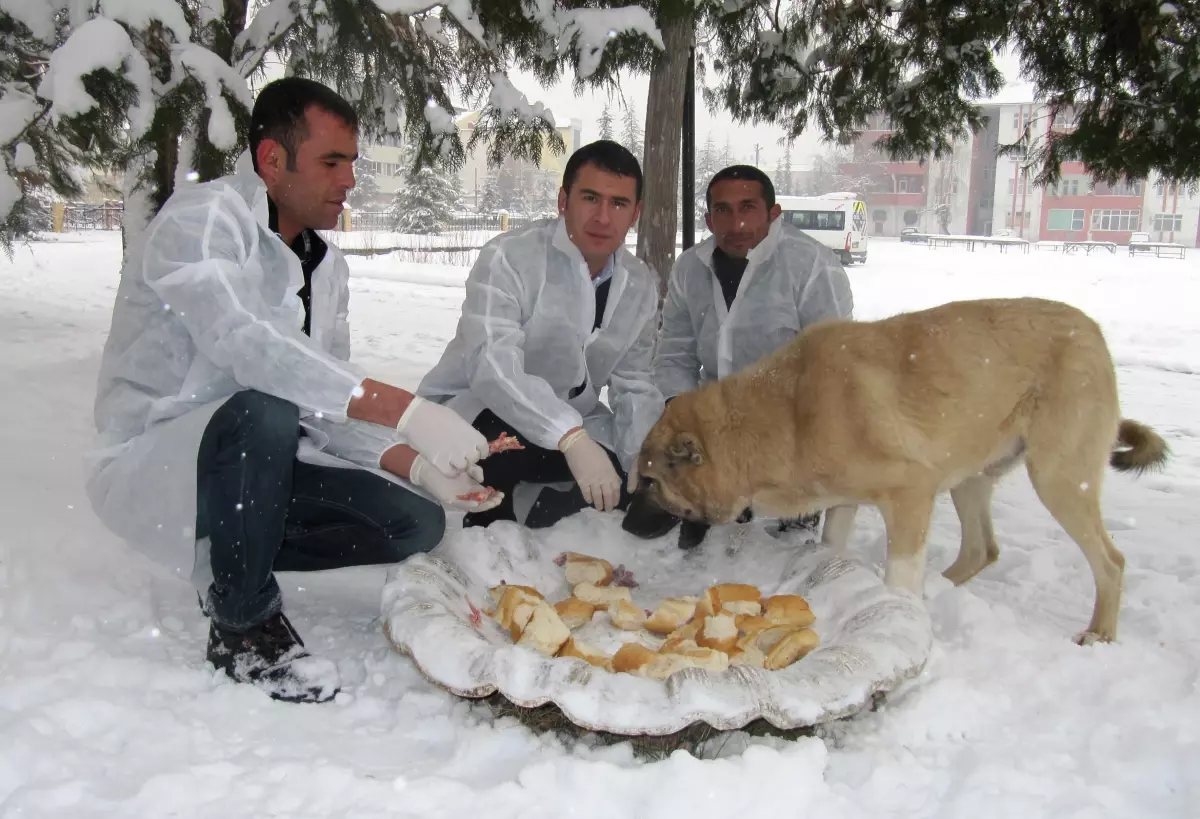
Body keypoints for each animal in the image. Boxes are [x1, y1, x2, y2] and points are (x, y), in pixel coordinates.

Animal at [643, 296, 1166, 638]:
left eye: (649, 482)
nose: (632, 520)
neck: (784, 413)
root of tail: (1093, 330)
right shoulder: (846, 501)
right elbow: (831, 548)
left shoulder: (911, 493)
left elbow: (899, 572)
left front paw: (899, 609)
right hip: (971, 479)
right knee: (982, 549)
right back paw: (940, 591)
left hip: (1058, 480)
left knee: (1112, 563)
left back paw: (1098, 634)